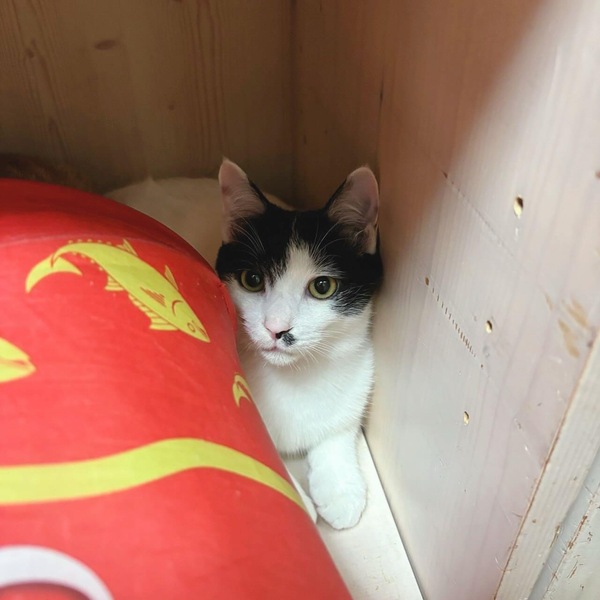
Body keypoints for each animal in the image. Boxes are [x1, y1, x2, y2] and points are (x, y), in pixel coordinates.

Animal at [215, 160, 383, 529]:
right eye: (252, 280)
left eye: (322, 286)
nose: (276, 329)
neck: (295, 375)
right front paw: (297, 501)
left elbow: (340, 429)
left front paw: (341, 488)